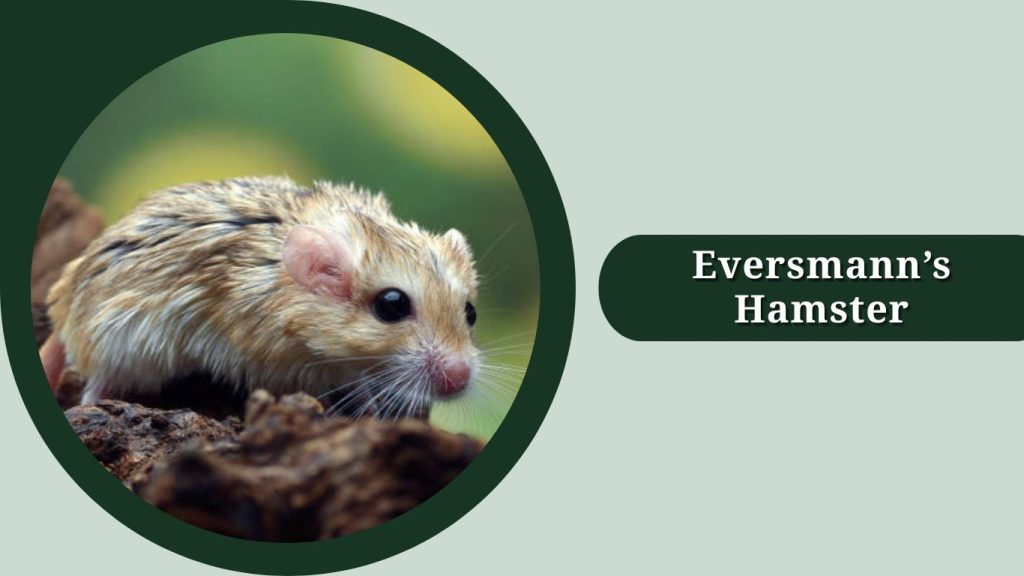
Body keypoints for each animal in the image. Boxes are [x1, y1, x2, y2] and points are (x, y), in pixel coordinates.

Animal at [40, 176, 481, 418]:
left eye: (471, 312)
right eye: (391, 305)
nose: (460, 378)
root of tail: (63, 307)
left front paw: (372, 408)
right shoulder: (283, 365)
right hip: (116, 341)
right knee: (92, 386)